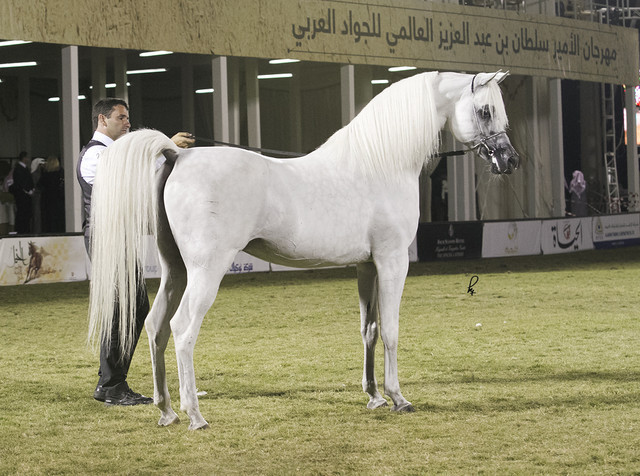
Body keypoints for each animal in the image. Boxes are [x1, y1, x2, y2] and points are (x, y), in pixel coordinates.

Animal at [88, 71, 519, 430]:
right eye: (485, 110)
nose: (509, 159)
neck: (381, 164)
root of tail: (178, 154)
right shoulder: (392, 261)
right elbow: (392, 331)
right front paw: (398, 398)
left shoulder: (366, 267)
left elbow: (369, 330)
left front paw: (374, 396)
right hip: (205, 271)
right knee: (182, 330)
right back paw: (195, 415)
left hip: (175, 270)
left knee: (155, 326)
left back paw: (166, 411)